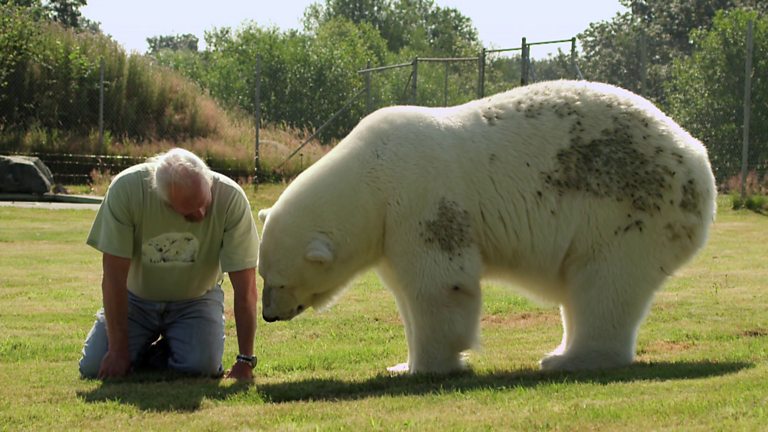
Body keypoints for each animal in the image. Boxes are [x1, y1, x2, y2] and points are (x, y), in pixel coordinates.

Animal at [260, 81, 720, 374]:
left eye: (279, 281)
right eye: (263, 276)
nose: (268, 315)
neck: (372, 175)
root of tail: (696, 155)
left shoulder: (420, 202)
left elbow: (440, 285)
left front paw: (430, 367)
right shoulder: (391, 230)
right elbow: (406, 291)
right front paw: (401, 364)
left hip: (627, 211)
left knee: (605, 283)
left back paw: (569, 359)